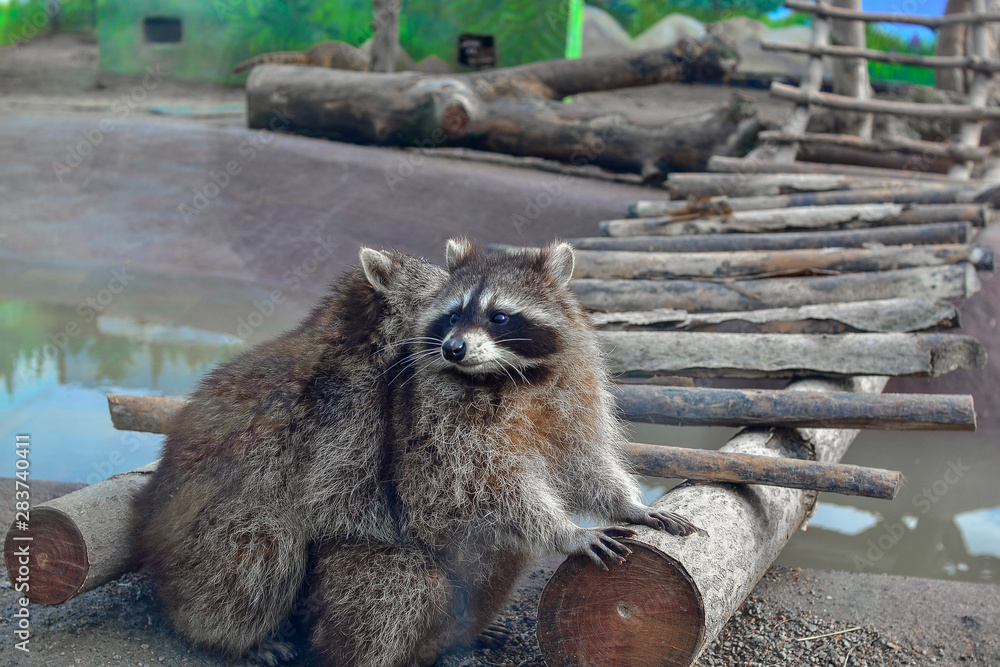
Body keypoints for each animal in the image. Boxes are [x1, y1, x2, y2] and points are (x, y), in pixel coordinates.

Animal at [132, 247, 447, 662]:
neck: (357, 332)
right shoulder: (344, 410)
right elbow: (339, 497)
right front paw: (409, 533)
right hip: (201, 553)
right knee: (265, 538)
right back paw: (239, 638)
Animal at [306, 239, 701, 667]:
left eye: (499, 317)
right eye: (453, 315)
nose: (453, 348)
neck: (516, 374)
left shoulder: (573, 396)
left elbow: (584, 462)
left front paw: (628, 504)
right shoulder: (446, 425)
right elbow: (491, 485)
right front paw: (566, 531)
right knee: (397, 587)